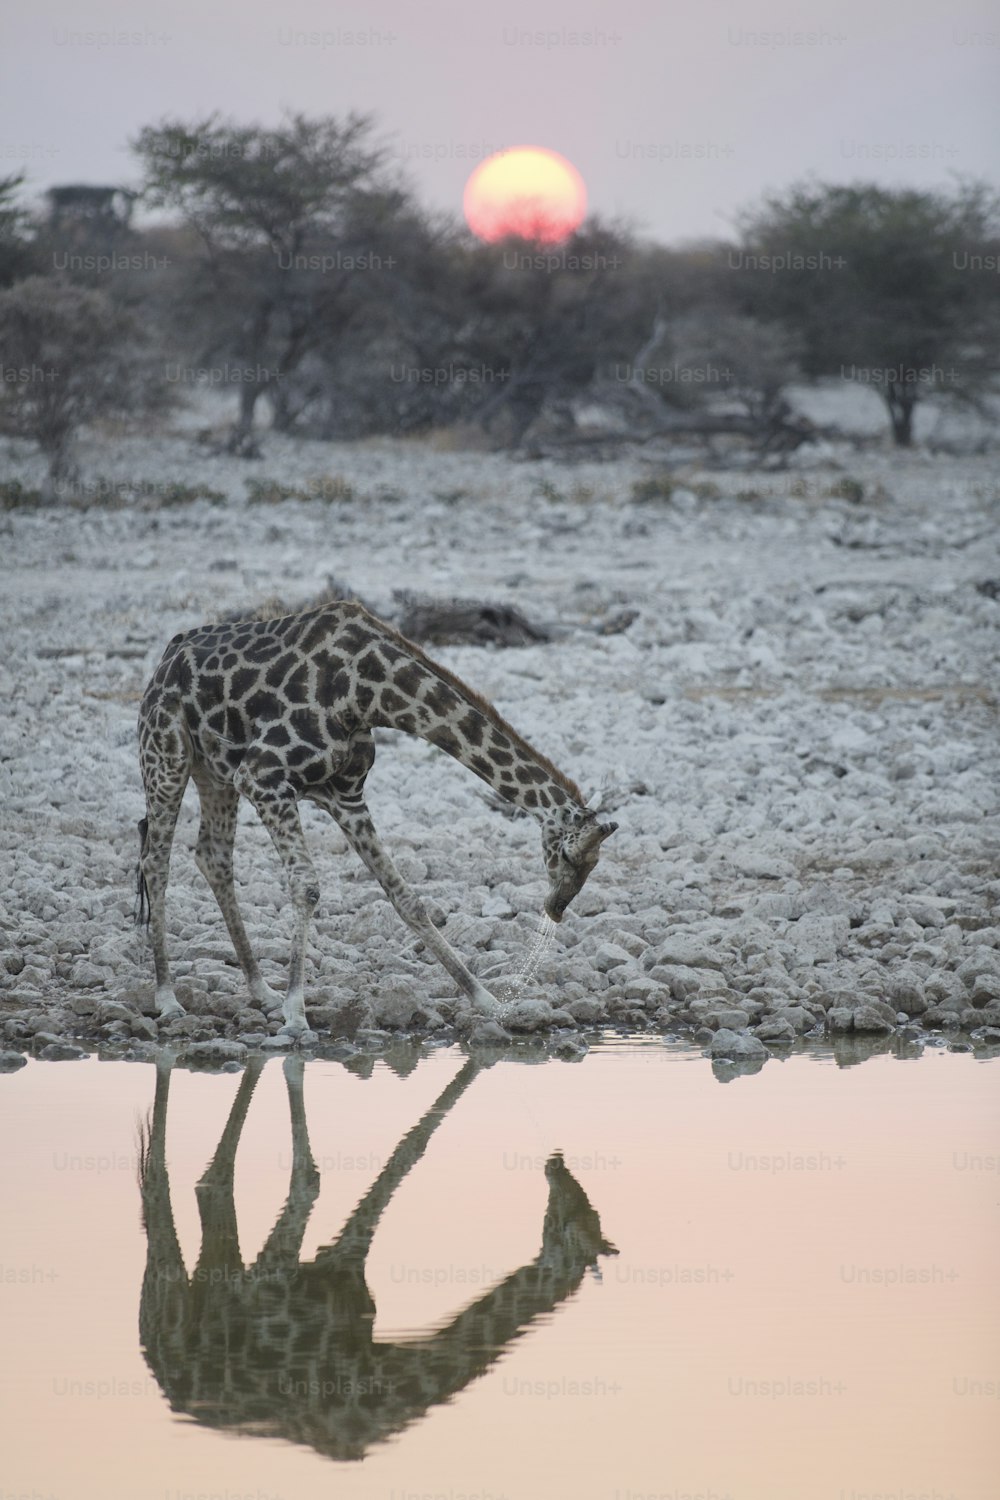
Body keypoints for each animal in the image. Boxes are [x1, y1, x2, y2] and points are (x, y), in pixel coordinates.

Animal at [135, 597, 614, 1032]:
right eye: (568, 857)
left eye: (593, 868)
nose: (555, 909)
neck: (370, 693)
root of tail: (164, 660)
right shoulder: (262, 776)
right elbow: (307, 888)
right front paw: (296, 1014)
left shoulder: (346, 796)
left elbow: (408, 900)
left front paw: (489, 1001)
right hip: (168, 757)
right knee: (156, 862)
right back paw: (168, 998)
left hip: (213, 772)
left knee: (212, 856)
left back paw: (259, 989)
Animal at [135, 1050, 614, 1458]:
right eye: (577, 1217)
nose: (557, 1165)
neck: (378, 1378)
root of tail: (159, 1369)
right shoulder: (278, 1277)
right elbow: (320, 1177)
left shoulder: (332, 1269)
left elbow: (403, 1152)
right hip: (172, 1290)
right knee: (163, 1189)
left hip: (214, 1274)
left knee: (212, 1188)